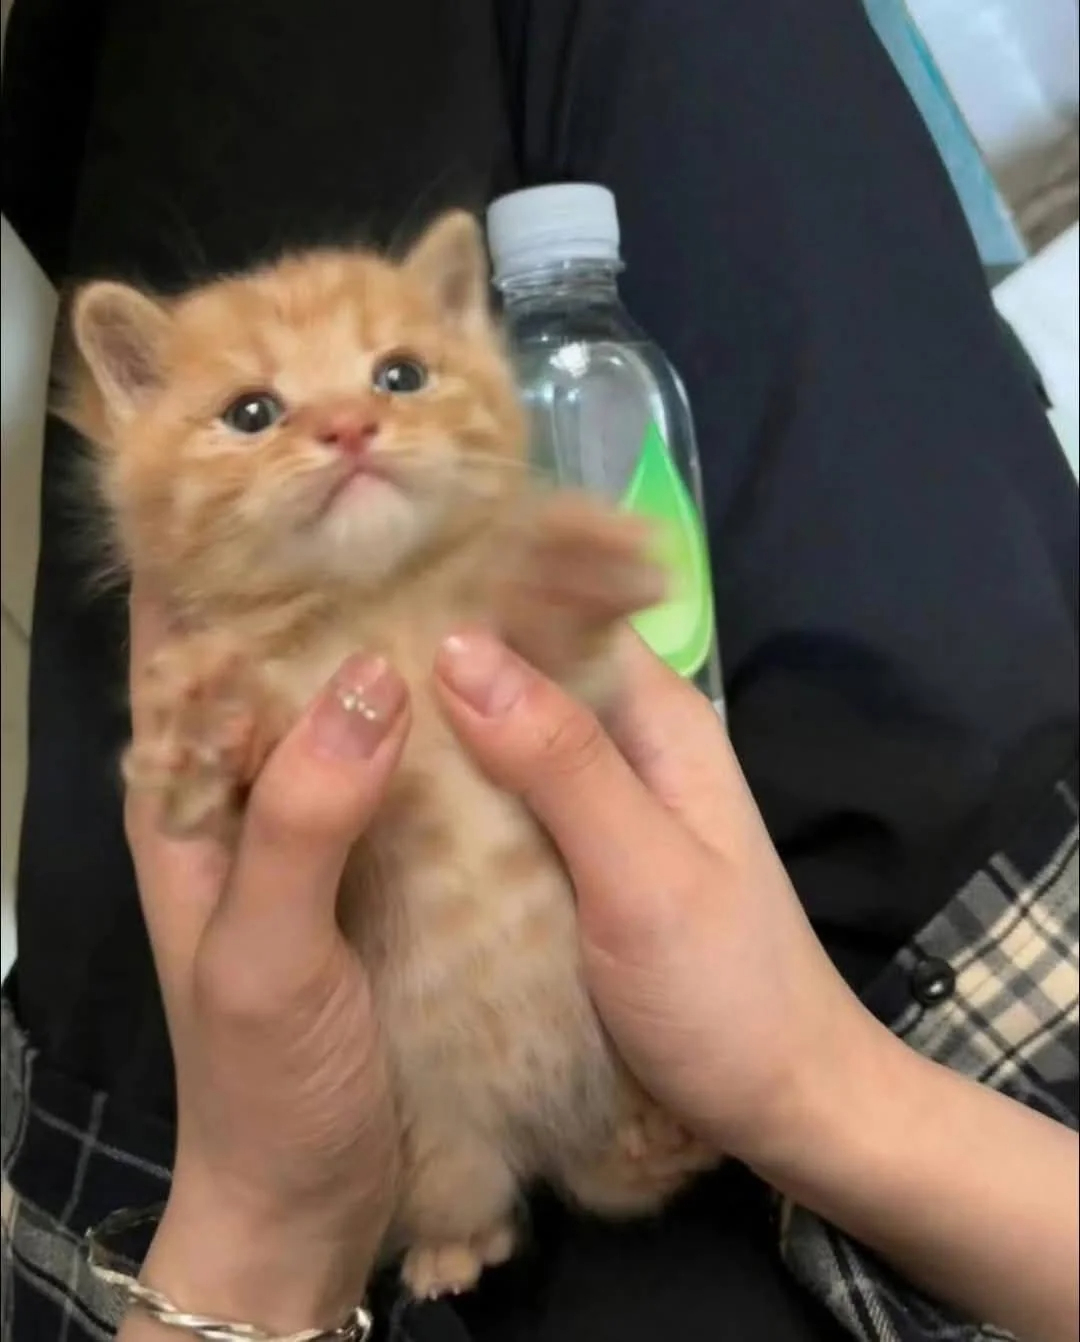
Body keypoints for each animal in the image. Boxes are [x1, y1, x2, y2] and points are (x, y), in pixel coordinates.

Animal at [67, 212, 716, 1299]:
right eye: (252, 412)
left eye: (399, 375)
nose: (349, 428)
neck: (377, 608)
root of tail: (555, 1132)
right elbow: (235, 786)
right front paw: (202, 722)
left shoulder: (541, 680)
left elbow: (550, 633)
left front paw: (571, 562)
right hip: (440, 1148)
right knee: (503, 1195)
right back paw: (461, 1249)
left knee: (627, 1180)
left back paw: (664, 1136)